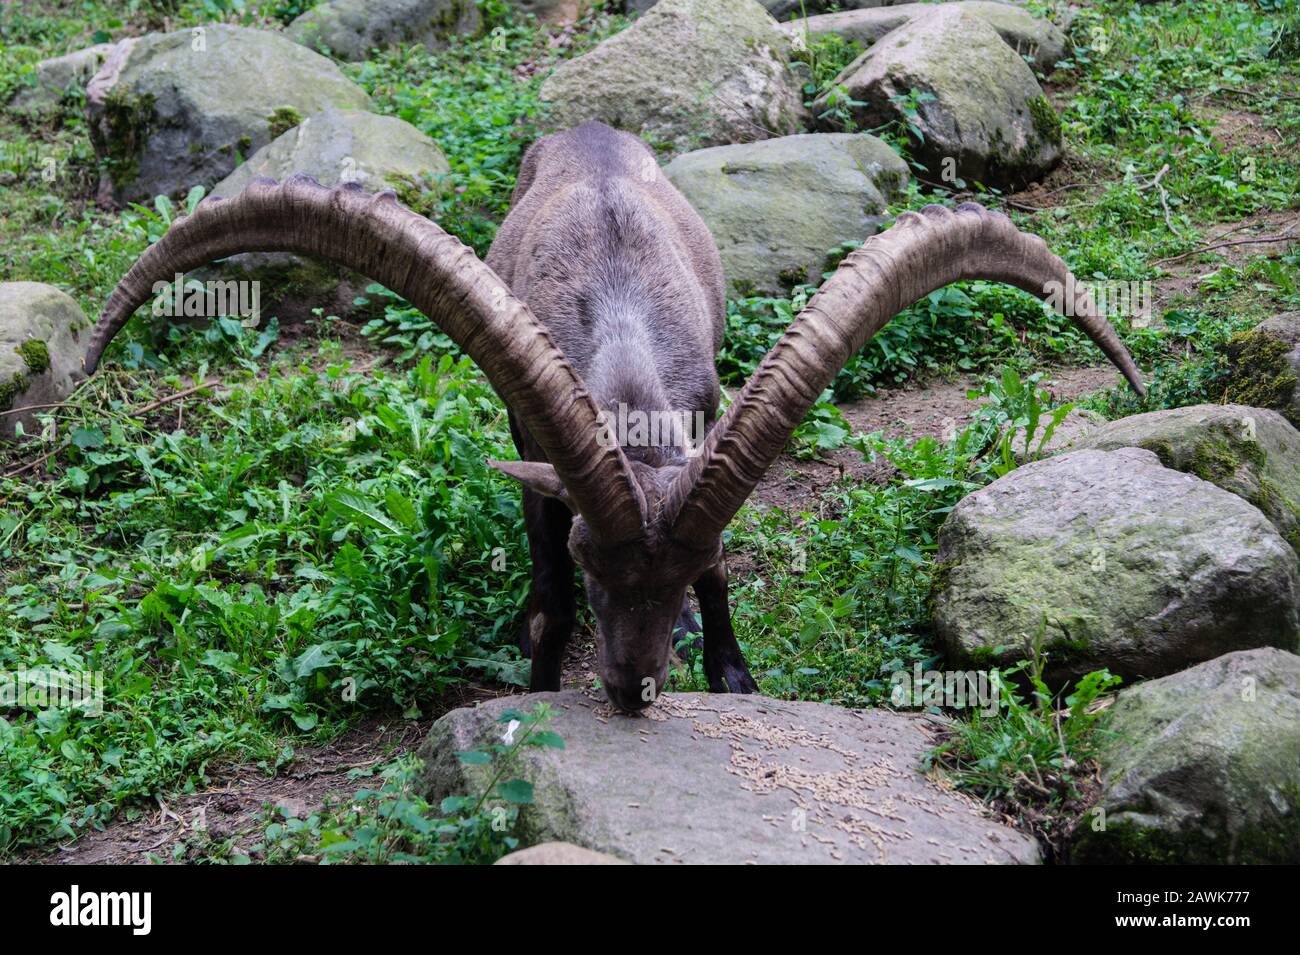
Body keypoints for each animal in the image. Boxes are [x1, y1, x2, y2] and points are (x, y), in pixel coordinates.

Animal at [84, 121, 1146, 712]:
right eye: (594, 559)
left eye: (682, 570)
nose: (634, 687)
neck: (626, 330)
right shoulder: (534, 449)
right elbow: (547, 582)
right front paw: (541, 678)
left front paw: (731, 675)